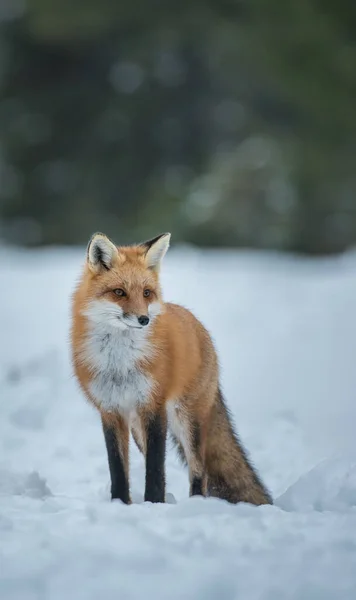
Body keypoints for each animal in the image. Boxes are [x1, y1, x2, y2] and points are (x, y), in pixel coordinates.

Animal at [71, 232, 272, 504]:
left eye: (146, 293)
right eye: (119, 292)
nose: (144, 320)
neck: (120, 363)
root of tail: (197, 324)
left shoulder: (154, 406)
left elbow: (156, 468)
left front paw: (153, 504)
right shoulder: (111, 410)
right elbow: (119, 469)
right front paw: (120, 503)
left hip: (187, 418)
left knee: (199, 471)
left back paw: (196, 503)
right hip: (138, 427)